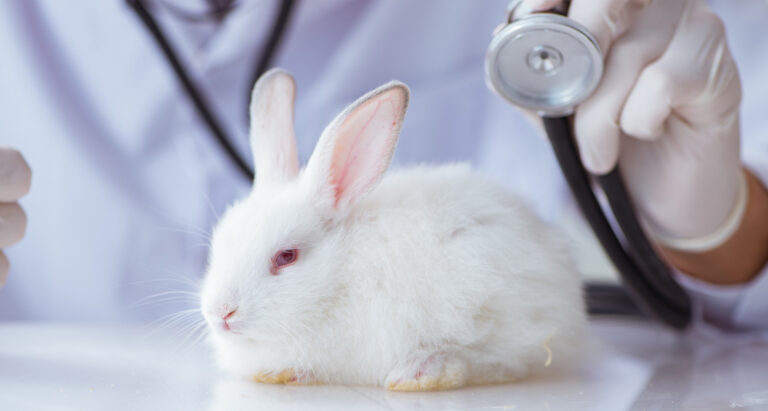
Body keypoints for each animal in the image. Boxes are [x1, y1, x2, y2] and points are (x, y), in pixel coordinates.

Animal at [199, 68, 589, 391]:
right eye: (217, 247)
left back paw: (421, 371)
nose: (221, 313)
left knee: (506, 361)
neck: (339, 274)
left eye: (286, 257)